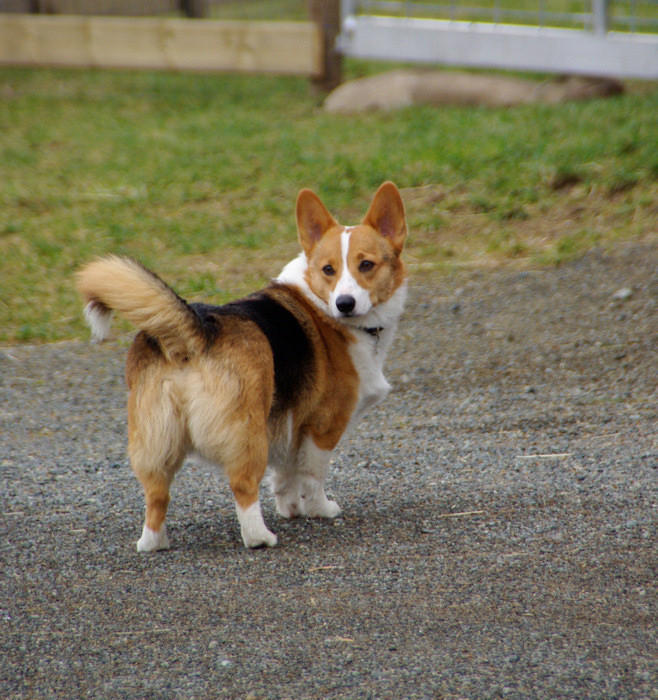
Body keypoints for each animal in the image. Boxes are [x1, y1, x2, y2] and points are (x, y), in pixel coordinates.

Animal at [77, 182, 404, 552]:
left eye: (366, 265)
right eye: (328, 269)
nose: (344, 304)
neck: (320, 303)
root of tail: (195, 332)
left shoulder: (288, 421)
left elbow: (285, 477)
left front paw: (291, 509)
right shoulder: (323, 426)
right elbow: (311, 475)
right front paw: (320, 509)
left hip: (156, 441)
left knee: (156, 495)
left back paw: (153, 543)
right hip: (248, 434)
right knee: (244, 487)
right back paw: (260, 537)